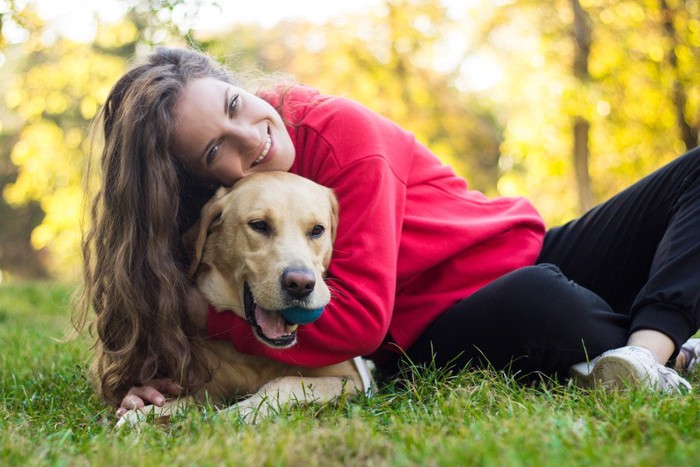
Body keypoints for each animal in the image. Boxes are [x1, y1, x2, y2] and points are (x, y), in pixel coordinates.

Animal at [117, 172, 374, 428]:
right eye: (259, 225)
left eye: (317, 230)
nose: (300, 284)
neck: (260, 358)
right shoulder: (209, 391)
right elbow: (187, 402)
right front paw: (146, 412)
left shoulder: (356, 381)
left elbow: (284, 381)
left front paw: (240, 412)